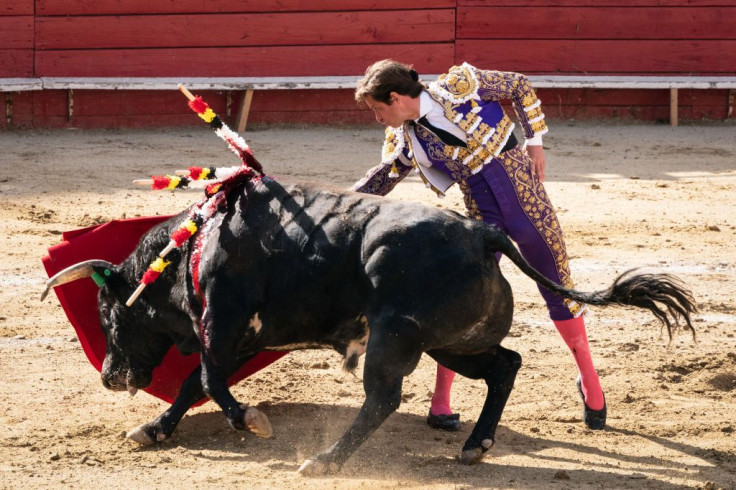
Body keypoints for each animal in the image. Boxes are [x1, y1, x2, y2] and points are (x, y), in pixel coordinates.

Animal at [41, 179, 696, 474]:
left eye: (108, 315)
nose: (108, 376)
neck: (192, 251)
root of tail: (482, 234)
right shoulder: (239, 336)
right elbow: (191, 385)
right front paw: (153, 429)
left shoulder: (221, 325)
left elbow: (205, 379)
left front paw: (251, 421)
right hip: (452, 343)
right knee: (505, 364)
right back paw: (475, 443)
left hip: (395, 340)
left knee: (383, 396)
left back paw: (326, 460)